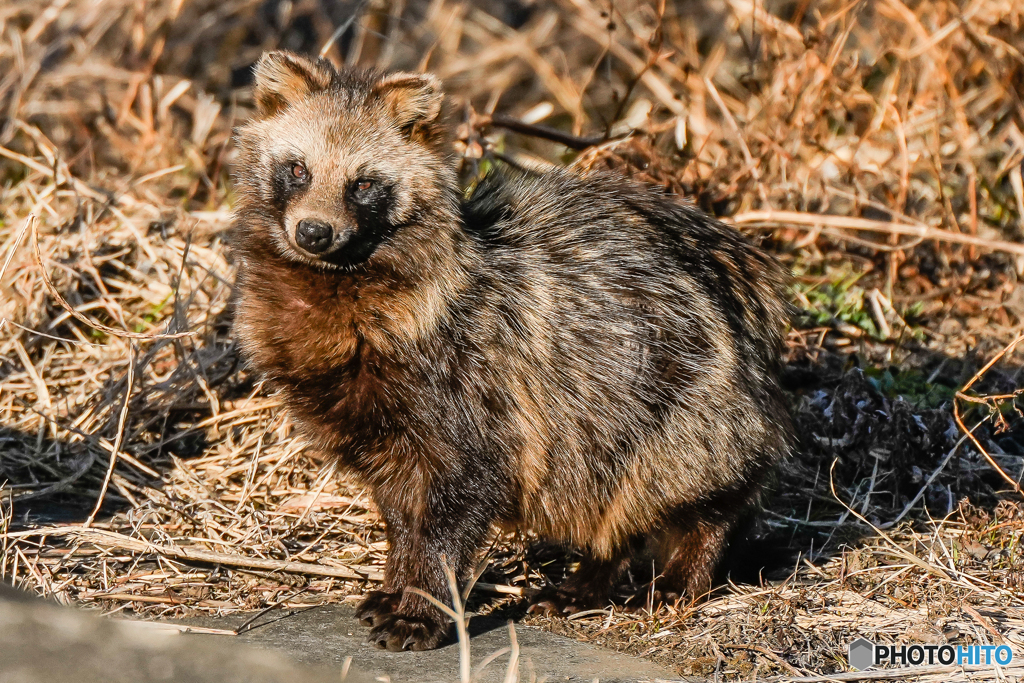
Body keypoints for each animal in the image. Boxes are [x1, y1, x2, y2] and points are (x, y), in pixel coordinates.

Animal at [232, 52, 790, 651]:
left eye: (363, 183)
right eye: (297, 169)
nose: (314, 233)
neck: (337, 283)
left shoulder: (470, 383)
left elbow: (455, 500)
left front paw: (422, 603)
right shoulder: (370, 417)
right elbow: (402, 511)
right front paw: (399, 581)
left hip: (685, 404)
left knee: (675, 489)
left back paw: (683, 571)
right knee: (608, 502)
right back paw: (592, 579)